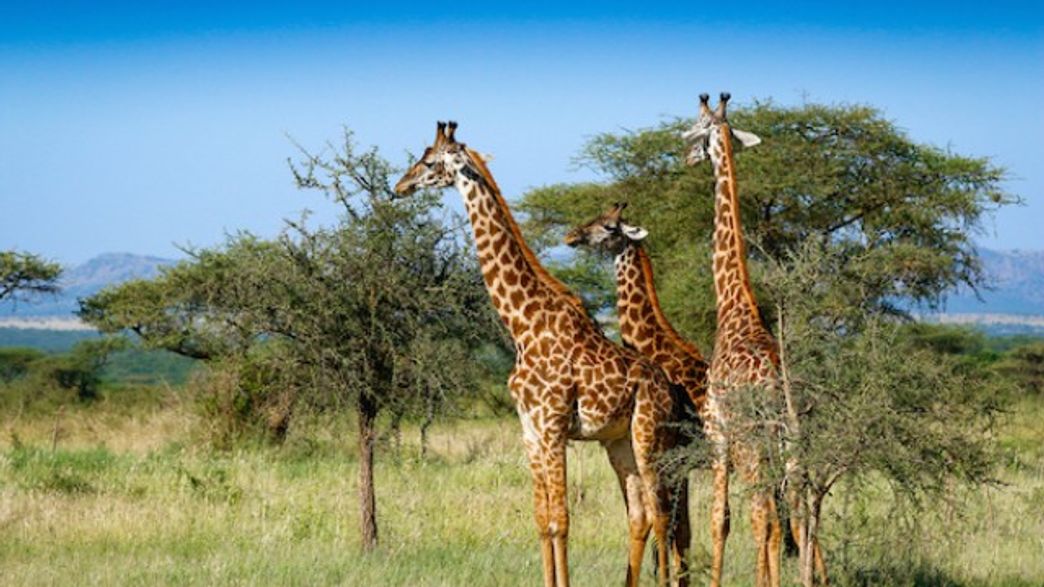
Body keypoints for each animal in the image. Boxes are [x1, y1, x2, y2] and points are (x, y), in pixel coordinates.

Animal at [395, 122, 688, 587]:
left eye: (428, 162)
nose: (399, 186)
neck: (522, 323)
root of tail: (672, 390)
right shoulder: (529, 430)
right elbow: (541, 519)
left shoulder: (552, 427)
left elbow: (561, 520)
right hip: (618, 440)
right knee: (641, 513)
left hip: (649, 434)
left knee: (662, 512)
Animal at [565, 202, 713, 585]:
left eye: (609, 226)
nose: (572, 235)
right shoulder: (679, 463)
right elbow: (680, 530)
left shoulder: (675, 458)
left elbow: (676, 528)